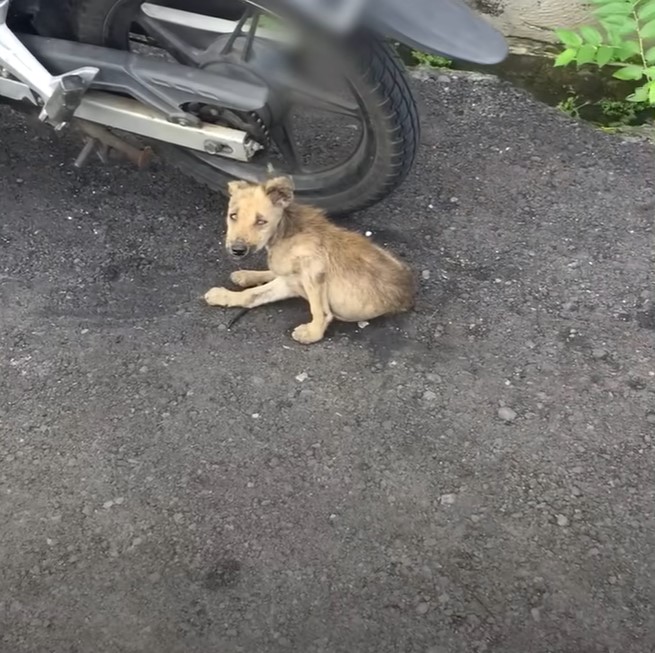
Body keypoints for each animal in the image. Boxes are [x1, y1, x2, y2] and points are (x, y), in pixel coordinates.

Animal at [205, 176, 416, 344]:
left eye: (261, 221)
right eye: (233, 216)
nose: (237, 250)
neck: (285, 231)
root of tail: (408, 294)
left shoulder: (313, 269)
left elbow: (319, 310)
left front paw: (313, 333)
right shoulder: (288, 282)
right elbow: (252, 295)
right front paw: (226, 295)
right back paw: (246, 275)